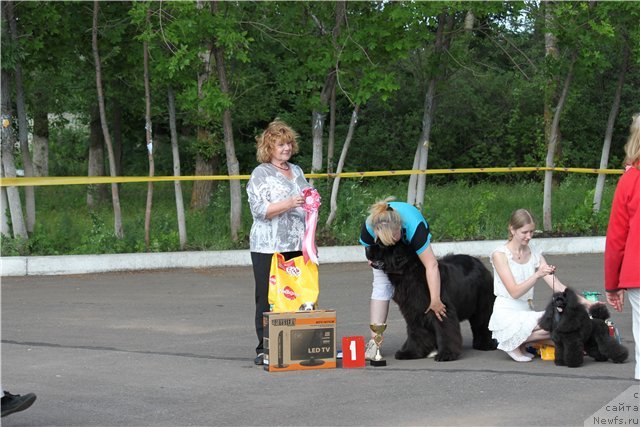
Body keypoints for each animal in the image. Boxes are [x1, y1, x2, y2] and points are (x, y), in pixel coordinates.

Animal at [364, 242, 496, 362]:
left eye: (382, 245)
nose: (366, 247)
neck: (408, 275)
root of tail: (479, 263)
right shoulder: (413, 312)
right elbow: (415, 332)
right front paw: (410, 352)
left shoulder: (442, 309)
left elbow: (445, 332)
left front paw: (446, 354)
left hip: (482, 305)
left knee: (483, 324)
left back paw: (485, 344)